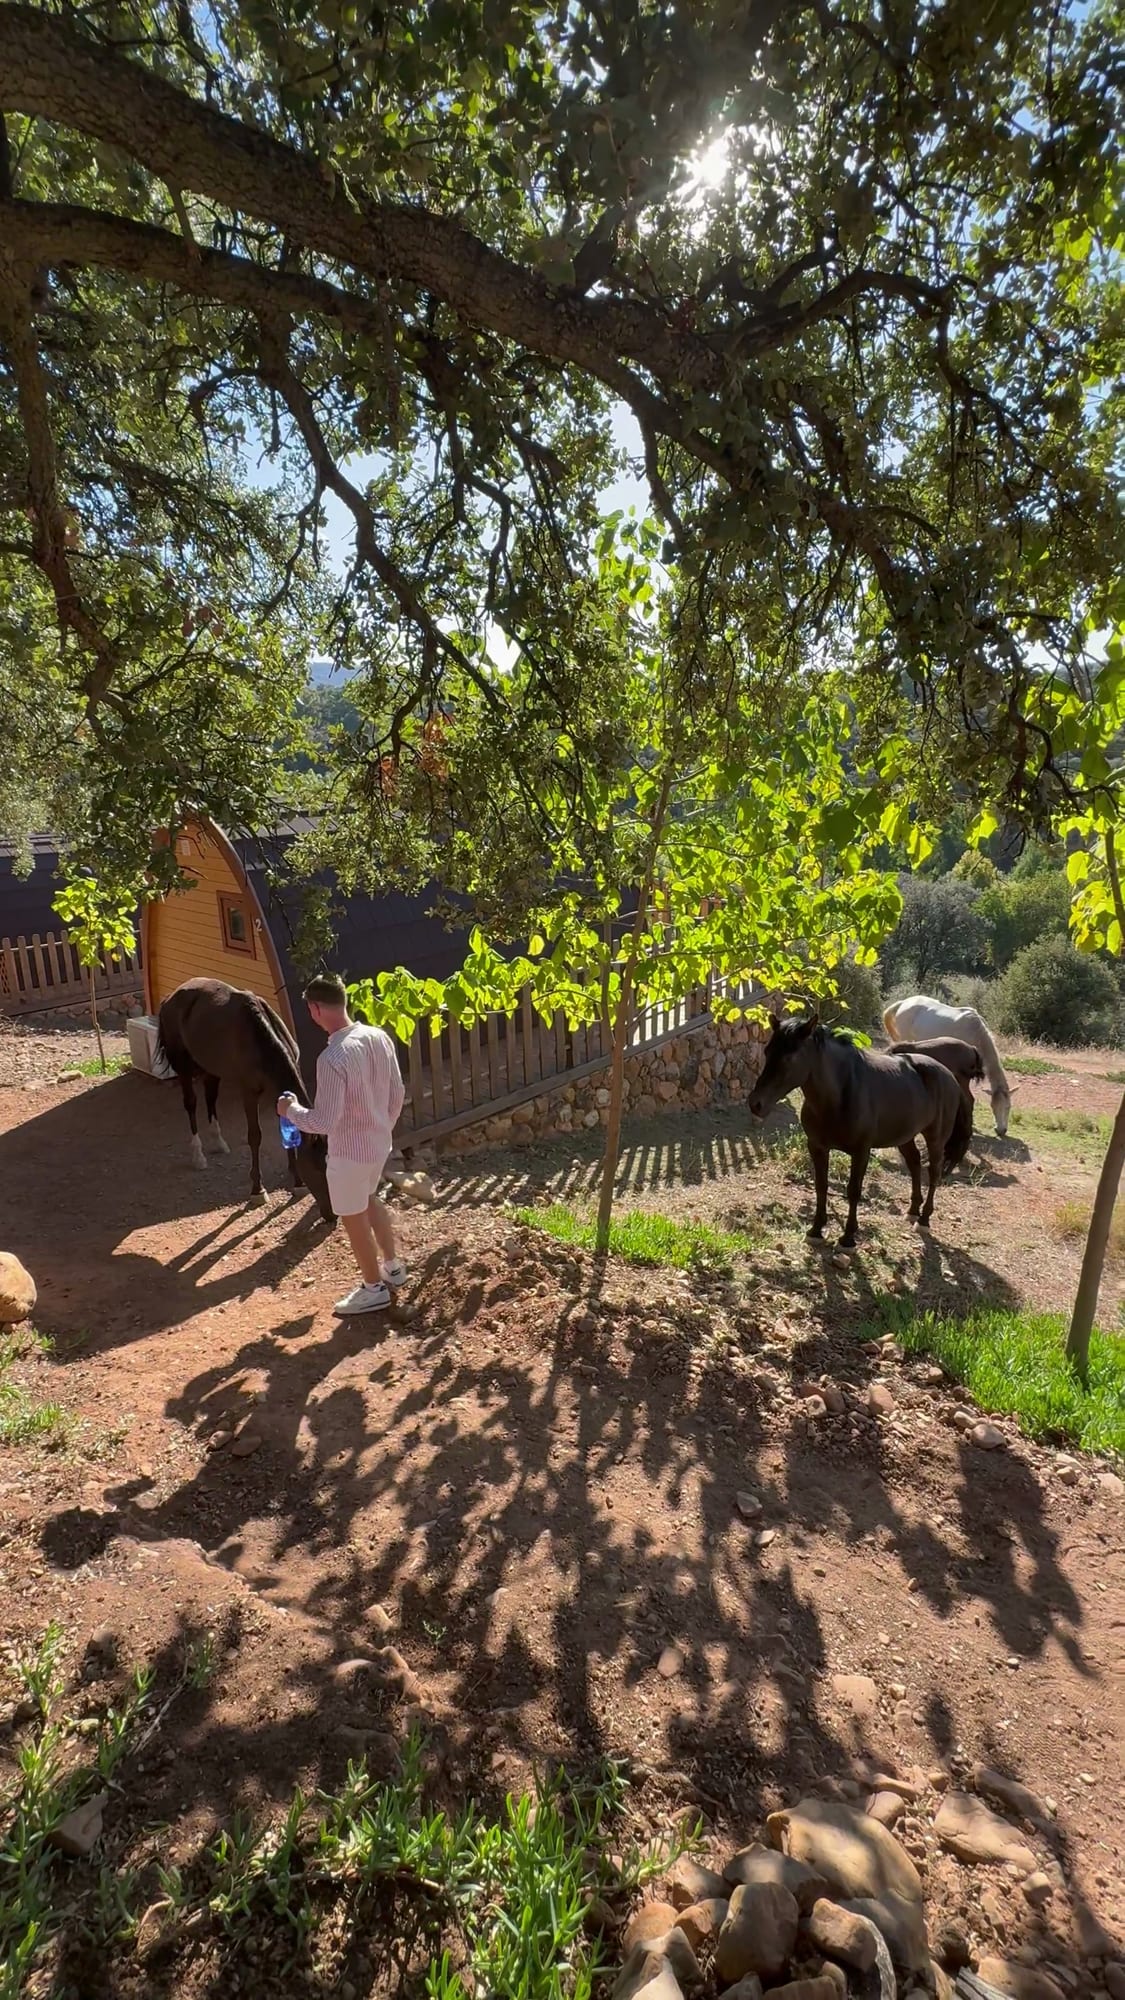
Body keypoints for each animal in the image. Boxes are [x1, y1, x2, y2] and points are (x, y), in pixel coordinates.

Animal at [157, 978, 334, 1223]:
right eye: (317, 1169)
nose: (332, 1215)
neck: (259, 1038)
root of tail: (170, 998)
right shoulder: (249, 1092)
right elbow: (255, 1136)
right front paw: (258, 1190)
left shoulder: (279, 1095)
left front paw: (297, 1184)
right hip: (184, 1067)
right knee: (191, 1103)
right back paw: (198, 1155)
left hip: (211, 1067)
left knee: (210, 1099)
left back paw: (219, 1143)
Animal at [748, 1014, 969, 1247]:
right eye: (767, 1051)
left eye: (790, 1057)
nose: (756, 1103)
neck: (841, 1094)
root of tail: (950, 1077)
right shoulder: (817, 1147)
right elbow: (821, 1186)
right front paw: (816, 1230)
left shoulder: (861, 1152)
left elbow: (853, 1191)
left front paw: (848, 1237)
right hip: (904, 1136)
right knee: (914, 1163)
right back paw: (912, 1211)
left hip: (935, 1139)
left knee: (934, 1172)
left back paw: (924, 1219)